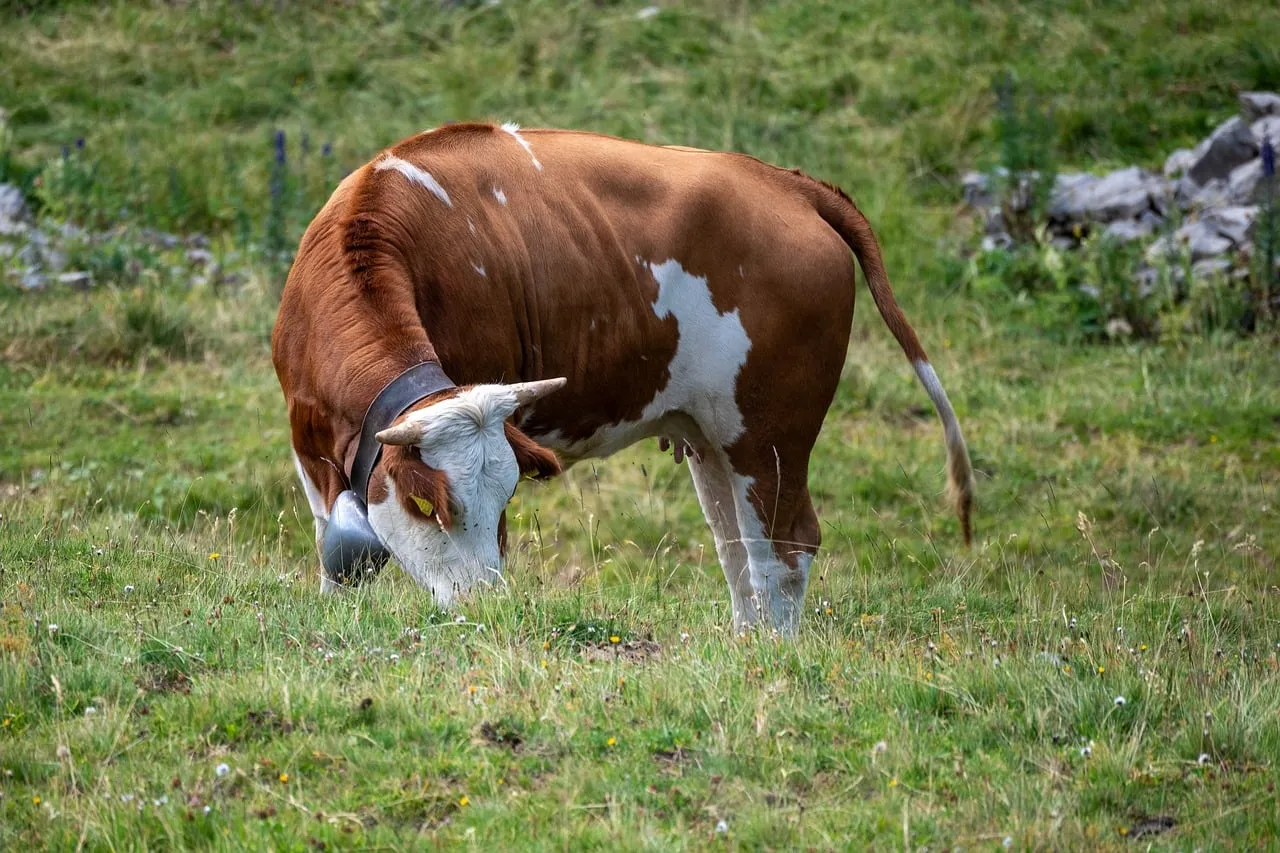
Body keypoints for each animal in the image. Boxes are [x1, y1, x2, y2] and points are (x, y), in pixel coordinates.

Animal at [271, 122, 974, 634]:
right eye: (425, 505)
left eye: (504, 498)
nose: (484, 605)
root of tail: (786, 183)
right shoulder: (311, 449)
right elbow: (334, 557)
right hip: (712, 437)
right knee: (737, 546)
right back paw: (746, 647)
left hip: (770, 434)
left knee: (785, 546)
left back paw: (774, 655)